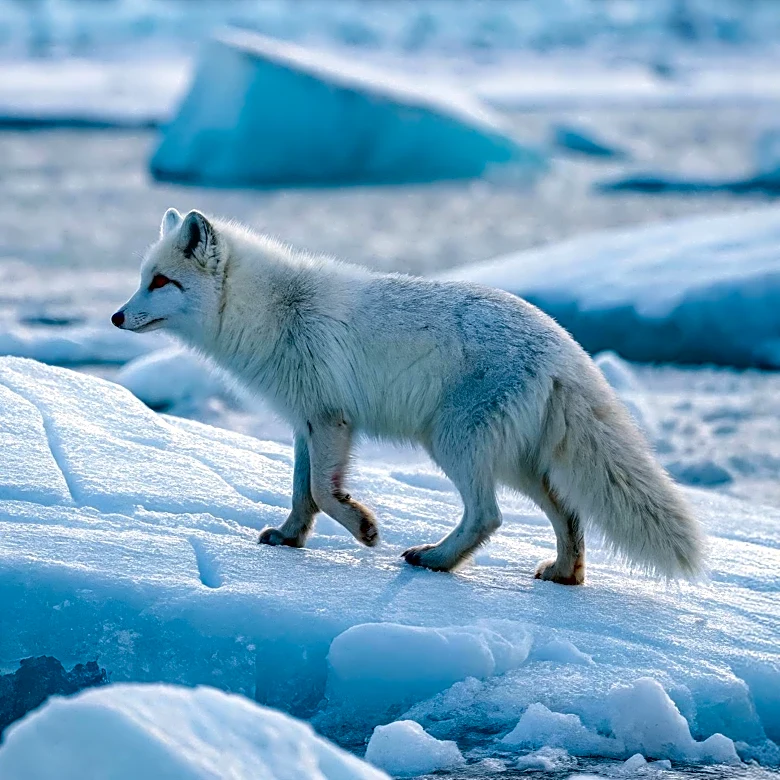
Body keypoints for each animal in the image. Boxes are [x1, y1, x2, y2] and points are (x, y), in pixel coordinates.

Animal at [112, 208, 703, 583]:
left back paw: (437, 560)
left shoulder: (331, 418)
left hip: (454, 443)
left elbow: (324, 492)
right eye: (143, 279)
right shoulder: (306, 421)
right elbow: (303, 493)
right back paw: (563, 574)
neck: (271, 309)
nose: (117, 316)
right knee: (569, 514)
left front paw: (365, 529)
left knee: (488, 517)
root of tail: (565, 346)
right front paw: (289, 538)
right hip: (517, 462)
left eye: (161, 282)